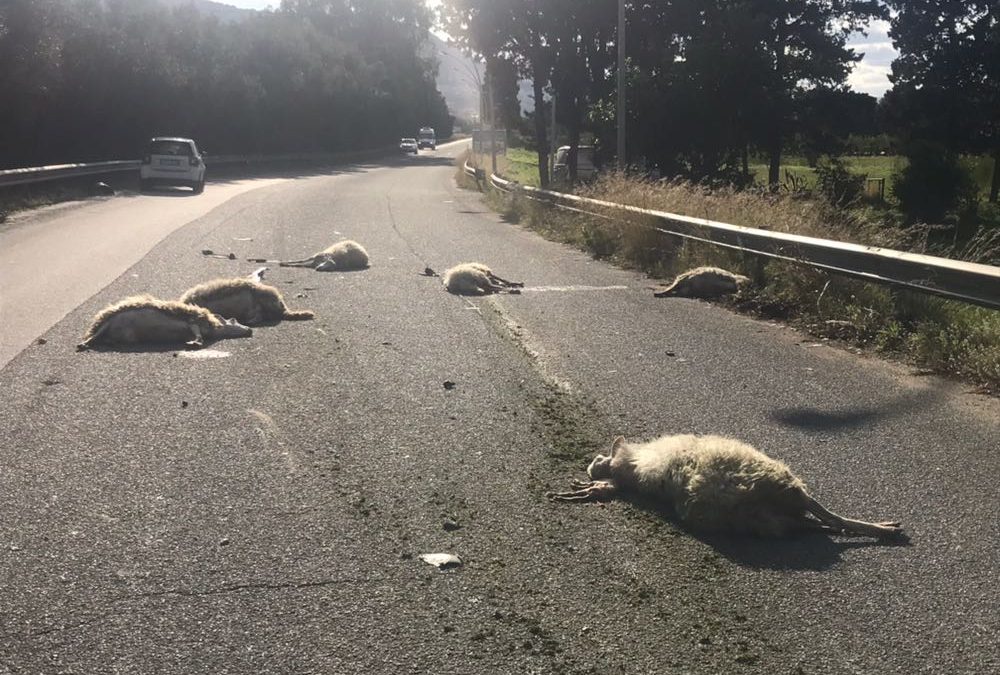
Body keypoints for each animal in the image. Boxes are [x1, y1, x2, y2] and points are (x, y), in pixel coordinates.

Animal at [77, 295, 252, 350]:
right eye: (233, 320)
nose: (250, 330)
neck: (213, 328)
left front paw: (193, 342)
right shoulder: (193, 322)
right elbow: (197, 334)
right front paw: (194, 343)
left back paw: (109, 342)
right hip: (109, 322)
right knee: (94, 336)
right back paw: (84, 344)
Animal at [550, 434, 903, 538]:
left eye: (597, 456)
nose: (591, 467)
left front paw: (583, 486)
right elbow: (608, 487)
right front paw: (582, 488)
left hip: (775, 492)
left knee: (815, 515)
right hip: (765, 514)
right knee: (809, 522)